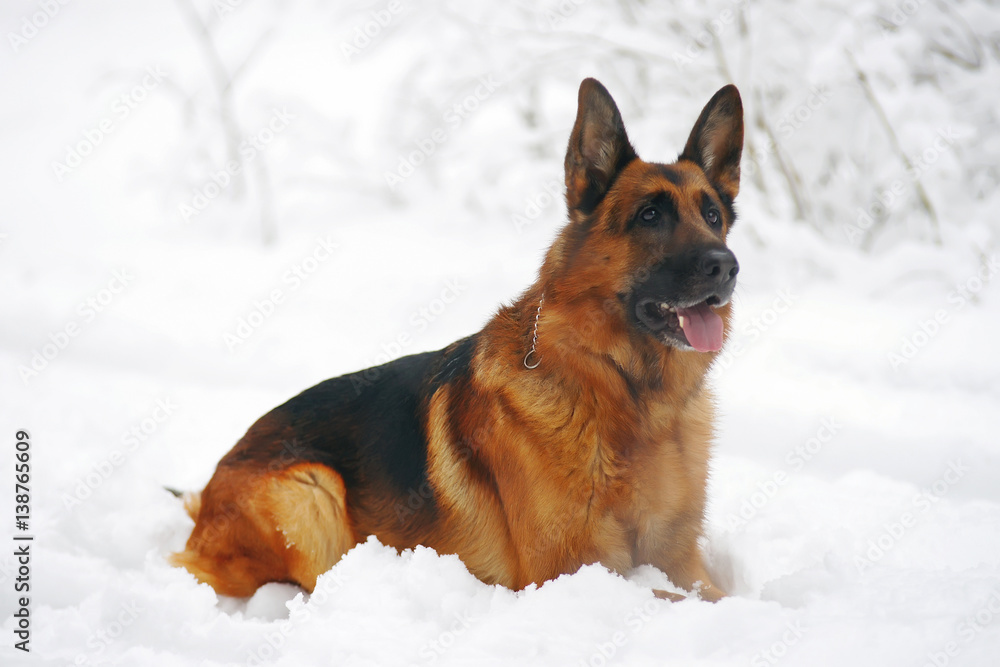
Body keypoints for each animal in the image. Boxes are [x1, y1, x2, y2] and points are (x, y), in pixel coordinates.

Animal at [170, 75, 744, 604]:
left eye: (712, 215)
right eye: (650, 216)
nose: (727, 266)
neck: (630, 391)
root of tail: (212, 483)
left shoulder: (682, 560)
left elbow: (720, 596)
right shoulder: (572, 572)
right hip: (313, 497)